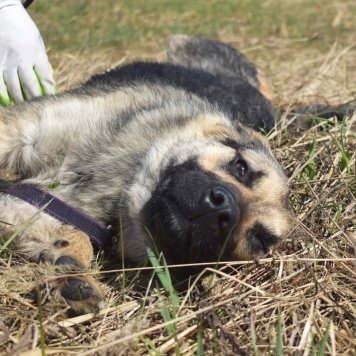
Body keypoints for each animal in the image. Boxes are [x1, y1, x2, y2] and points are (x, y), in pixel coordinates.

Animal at [0, 35, 294, 314]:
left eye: (258, 240)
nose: (223, 211)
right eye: (241, 167)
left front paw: (71, 269)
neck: (124, 181)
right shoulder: (25, 128)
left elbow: (70, 233)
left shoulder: (36, 205)